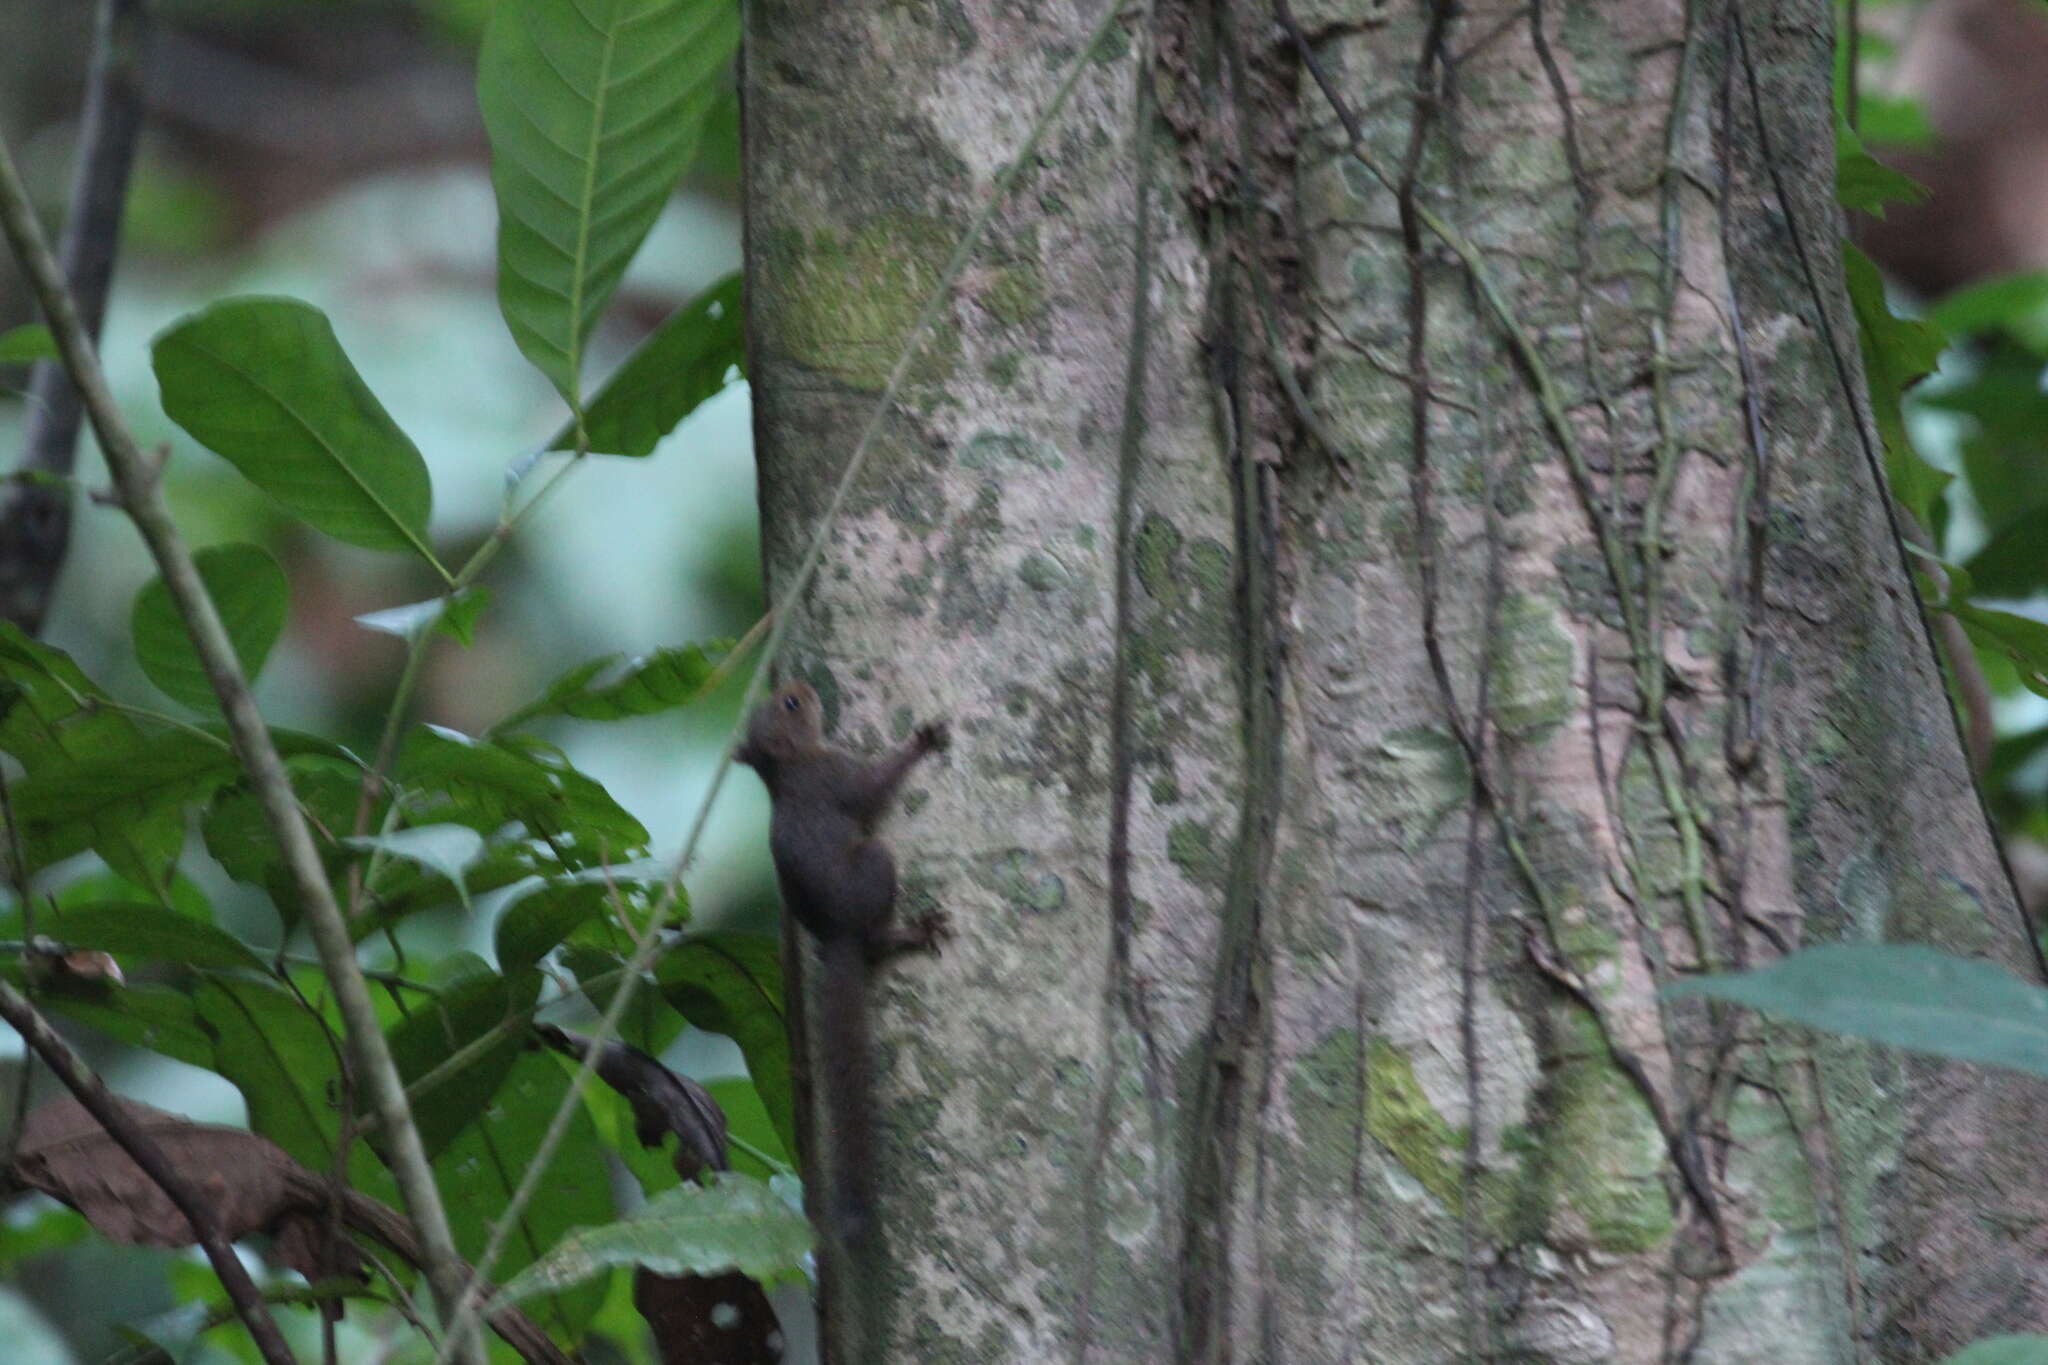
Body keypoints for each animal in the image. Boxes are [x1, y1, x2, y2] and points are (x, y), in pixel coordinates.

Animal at [737, 683, 950, 1236]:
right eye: (791, 706)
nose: (802, 688)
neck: (786, 768)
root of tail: (839, 940)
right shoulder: (837, 773)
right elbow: (873, 787)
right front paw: (919, 743)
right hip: (876, 863)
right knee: (876, 935)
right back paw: (914, 931)